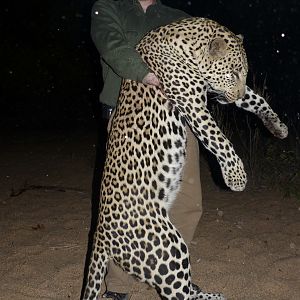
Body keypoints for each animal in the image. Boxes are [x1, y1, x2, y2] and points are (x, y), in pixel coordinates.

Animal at [81, 17, 286, 300]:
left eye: (244, 74)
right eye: (233, 73)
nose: (234, 96)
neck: (187, 45)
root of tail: (100, 233)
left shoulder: (212, 90)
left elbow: (257, 99)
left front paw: (278, 127)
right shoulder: (193, 105)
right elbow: (218, 139)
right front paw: (236, 178)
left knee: (184, 288)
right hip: (167, 246)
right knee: (178, 291)